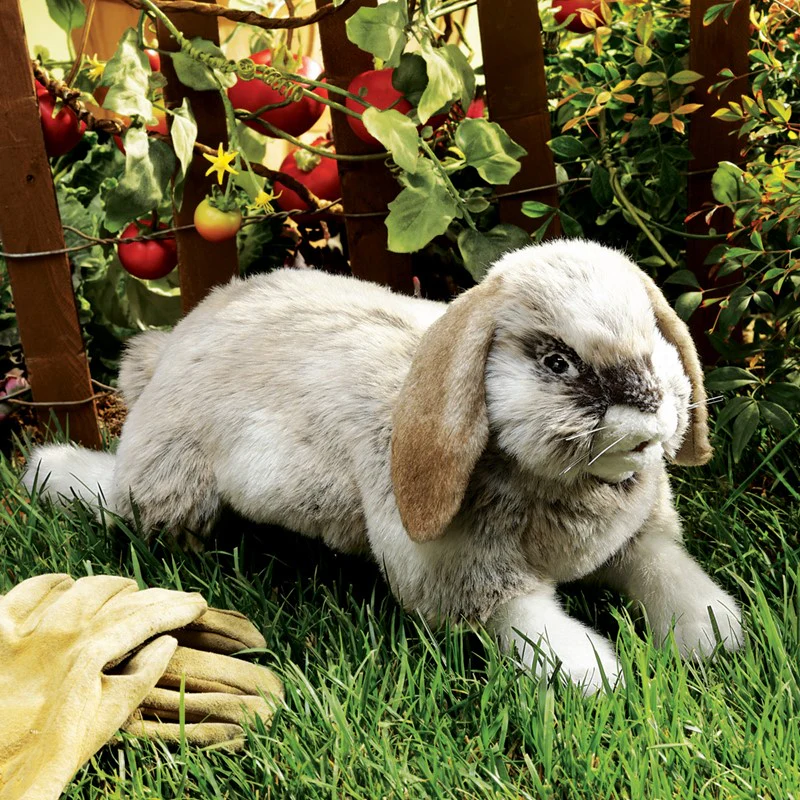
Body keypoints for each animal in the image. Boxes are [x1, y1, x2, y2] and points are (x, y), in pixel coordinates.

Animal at [23, 239, 743, 693]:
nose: (650, 407)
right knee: (112, 496)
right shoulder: (468, 578)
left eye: (654, 337)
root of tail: (178, 339)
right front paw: (593, 675)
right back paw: (47, 469)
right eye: (557, 362)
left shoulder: (637, 541)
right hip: (166, 483)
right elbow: (530, 622)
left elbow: (669, 573)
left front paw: (716, 635)